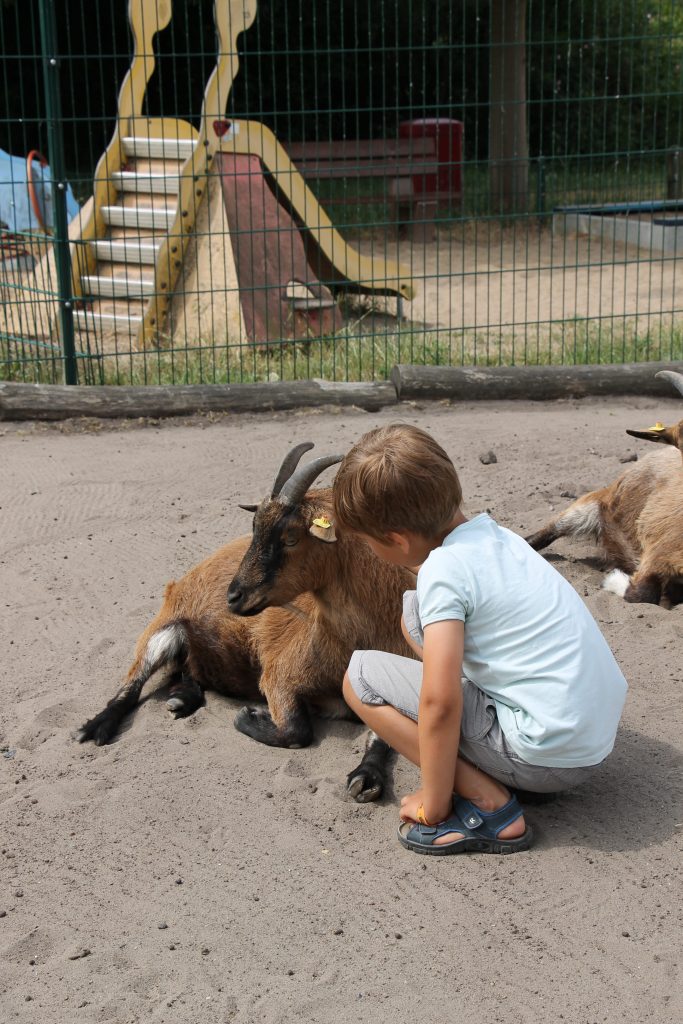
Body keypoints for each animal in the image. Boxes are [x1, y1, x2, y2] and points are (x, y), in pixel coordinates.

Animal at [76, 440, 413, 798]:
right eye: (254, 529)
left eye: (291, 537)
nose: (234, 596)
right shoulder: (279, 675)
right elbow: (296, 731)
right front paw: (247, 716)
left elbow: (385, 738)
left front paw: (367, 776)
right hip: (162, 630)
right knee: (133, 682)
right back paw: (96, 728)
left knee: (190, 669)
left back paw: (181, 699)